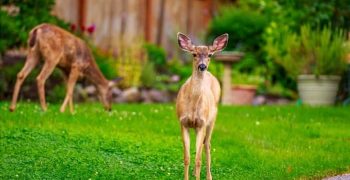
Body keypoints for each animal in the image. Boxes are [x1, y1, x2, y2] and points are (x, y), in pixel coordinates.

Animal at [176, 32, 228, 180]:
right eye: (194, 54)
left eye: (210, 55)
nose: (202, 66)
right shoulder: (183, 122)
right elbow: (187, 157)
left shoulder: (202, 123)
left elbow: (198, 159)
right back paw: (195, 173)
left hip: (212, 120)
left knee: (207, 145)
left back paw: (209, 176)